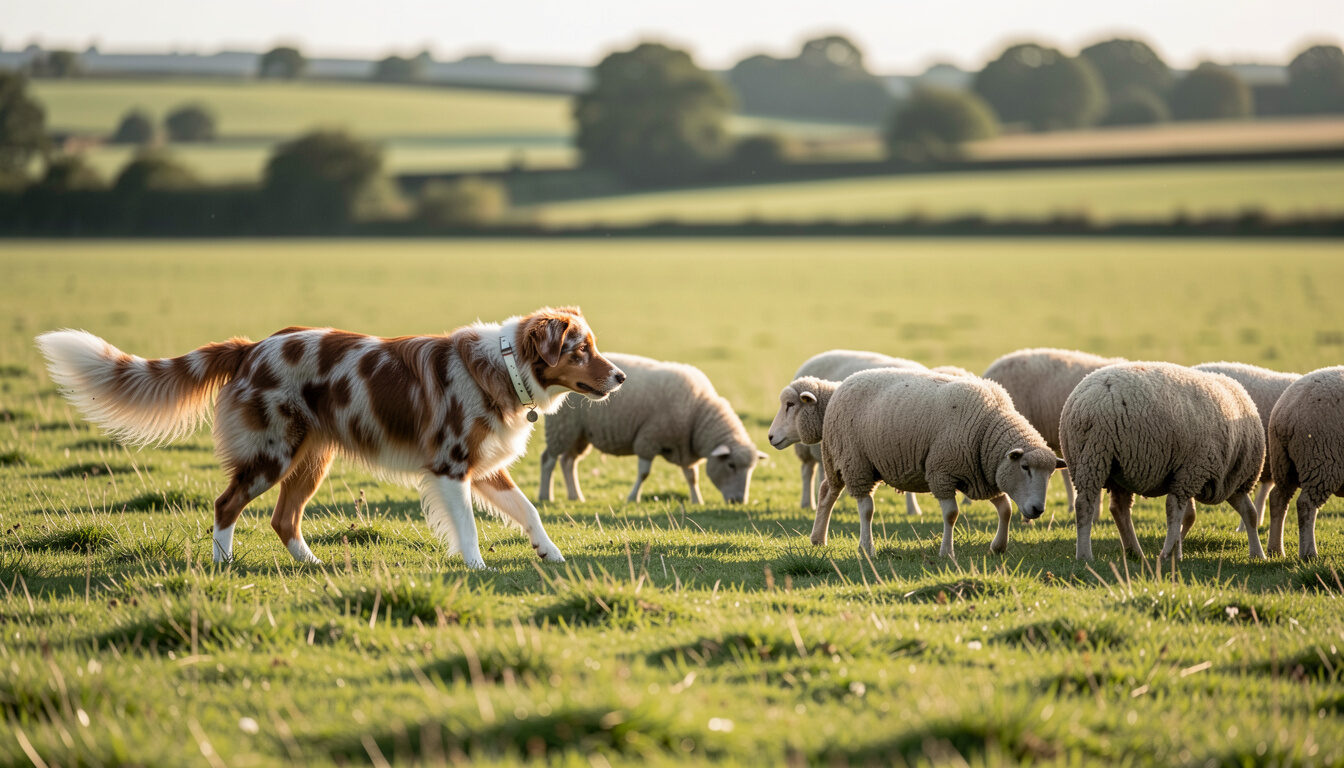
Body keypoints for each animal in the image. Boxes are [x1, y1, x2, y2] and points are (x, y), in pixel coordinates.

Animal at [538, 352, 763, 505]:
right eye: (731, 465)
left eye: (751, 469)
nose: (739, 501)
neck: (698, 413)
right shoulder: (648, 440)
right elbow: (644, 474)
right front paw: (632, 498)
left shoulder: (684, 447)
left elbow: (692, 477)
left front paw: (696, 500)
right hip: (561, 427)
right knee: (548, 460)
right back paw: (545, 496)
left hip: (578, 433)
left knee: (568, 462)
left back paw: (575, 496)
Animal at [811, 368, 1064, 558]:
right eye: (1025, 467)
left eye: (1051, 474)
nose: (1038, 510)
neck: (987, 429)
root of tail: (845, 382)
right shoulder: (942, 473)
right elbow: (951, 514)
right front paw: (947, 552)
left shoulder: (983, 475)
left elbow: (1006, 510)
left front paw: (998, 547)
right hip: (854, 461)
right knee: (866, 508)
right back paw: (866, 547)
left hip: (840, 461)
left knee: (826, 493)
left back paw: (818, 539)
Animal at [1059, 362, 1266, 562]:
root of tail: (1085, 401)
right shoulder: (1194, 470)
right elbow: (1175, 510)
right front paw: (1169, 553)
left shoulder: (1223, 481)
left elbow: (1250, 513)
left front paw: (1258, 554)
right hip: (1096, 455)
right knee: (1085, 505)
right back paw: (1085, 554)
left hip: (1110, 465)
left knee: (1119, 508)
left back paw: (1134, 552)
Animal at [1265, 366, 1344, 560]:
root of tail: (1286, 411)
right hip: (1322, 461)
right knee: (1305, 504)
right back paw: (1309, 553)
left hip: (1283, 464)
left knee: (1278, 499)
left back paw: (1275, 550)